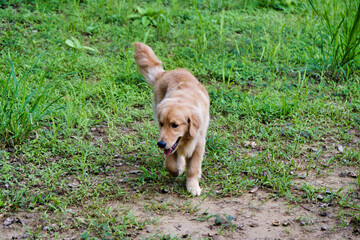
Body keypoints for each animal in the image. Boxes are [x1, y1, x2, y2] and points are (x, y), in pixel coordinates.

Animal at [134, 42, 210, 195]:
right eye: (162, 124)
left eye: (175, 125)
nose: (160, 144)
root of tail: (164, 73)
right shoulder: (167, 141)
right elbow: (170, 163)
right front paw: (177, 170)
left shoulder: (199, 143)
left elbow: (193, 168)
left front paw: (193, 186)